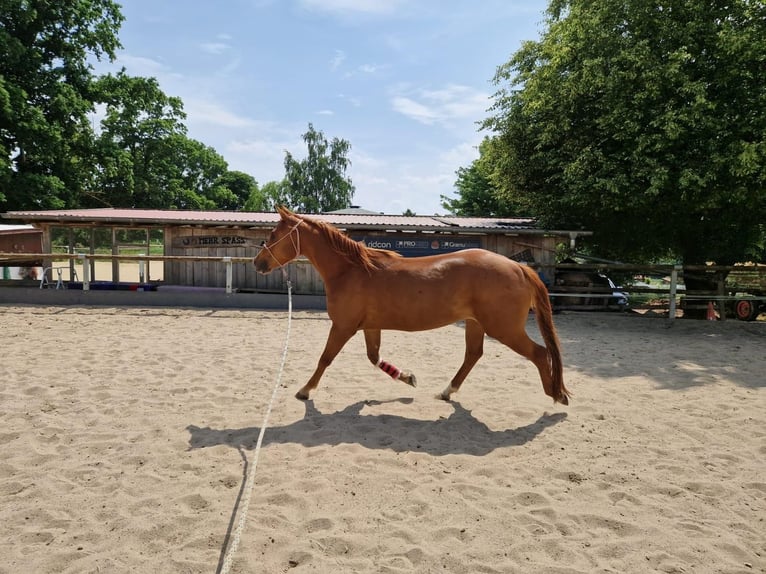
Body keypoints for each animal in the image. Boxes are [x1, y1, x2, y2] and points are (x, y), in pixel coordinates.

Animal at [254, 206, 569, 405]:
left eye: (273, 236)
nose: (258, 263)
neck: (351, 270)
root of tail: (519, 267)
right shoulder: (369, 326)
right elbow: (373, 358)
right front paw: (407, 378)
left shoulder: (343, 326)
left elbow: (325, 359)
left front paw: (305, 390)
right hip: (476, 324)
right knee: (473, 355)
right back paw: (447, 391)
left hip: (503, 328)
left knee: (540, 354)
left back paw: (556, 395)